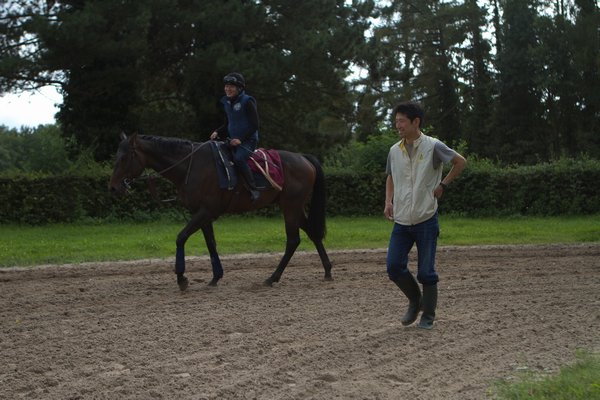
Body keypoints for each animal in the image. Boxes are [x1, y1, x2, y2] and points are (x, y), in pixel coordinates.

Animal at [109, 134, 332, 290]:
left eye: (125, 157)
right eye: (116, 156)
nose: (113, 188)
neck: (191, 165)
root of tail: (303, 158)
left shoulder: (206, 211)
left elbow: (181, 237)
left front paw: (181, 278)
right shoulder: (202, 213)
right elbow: (211, 243)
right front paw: (215, 277)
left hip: (290, 207)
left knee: (293, 240)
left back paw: (272, 277)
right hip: (294, 207)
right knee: (312, 233)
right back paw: (327, 271)